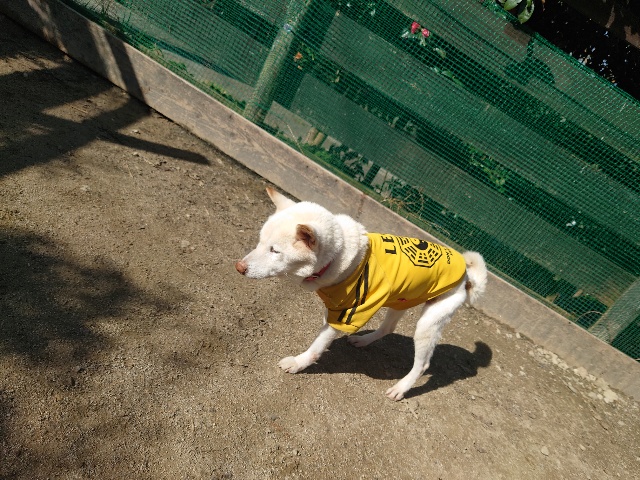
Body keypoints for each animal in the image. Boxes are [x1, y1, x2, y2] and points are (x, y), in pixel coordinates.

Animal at [235, 187, 487, 401]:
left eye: (275, 251)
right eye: (260, 243)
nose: (239, 267)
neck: (340, 257)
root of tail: (466, 275)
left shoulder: (349, 314)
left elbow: (317, 346)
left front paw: (299, 363)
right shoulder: (335, 309)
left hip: (430, 321)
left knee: (423, 364)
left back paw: (401, 388)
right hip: (401, 300)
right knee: (388, 328)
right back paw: (363, 341)